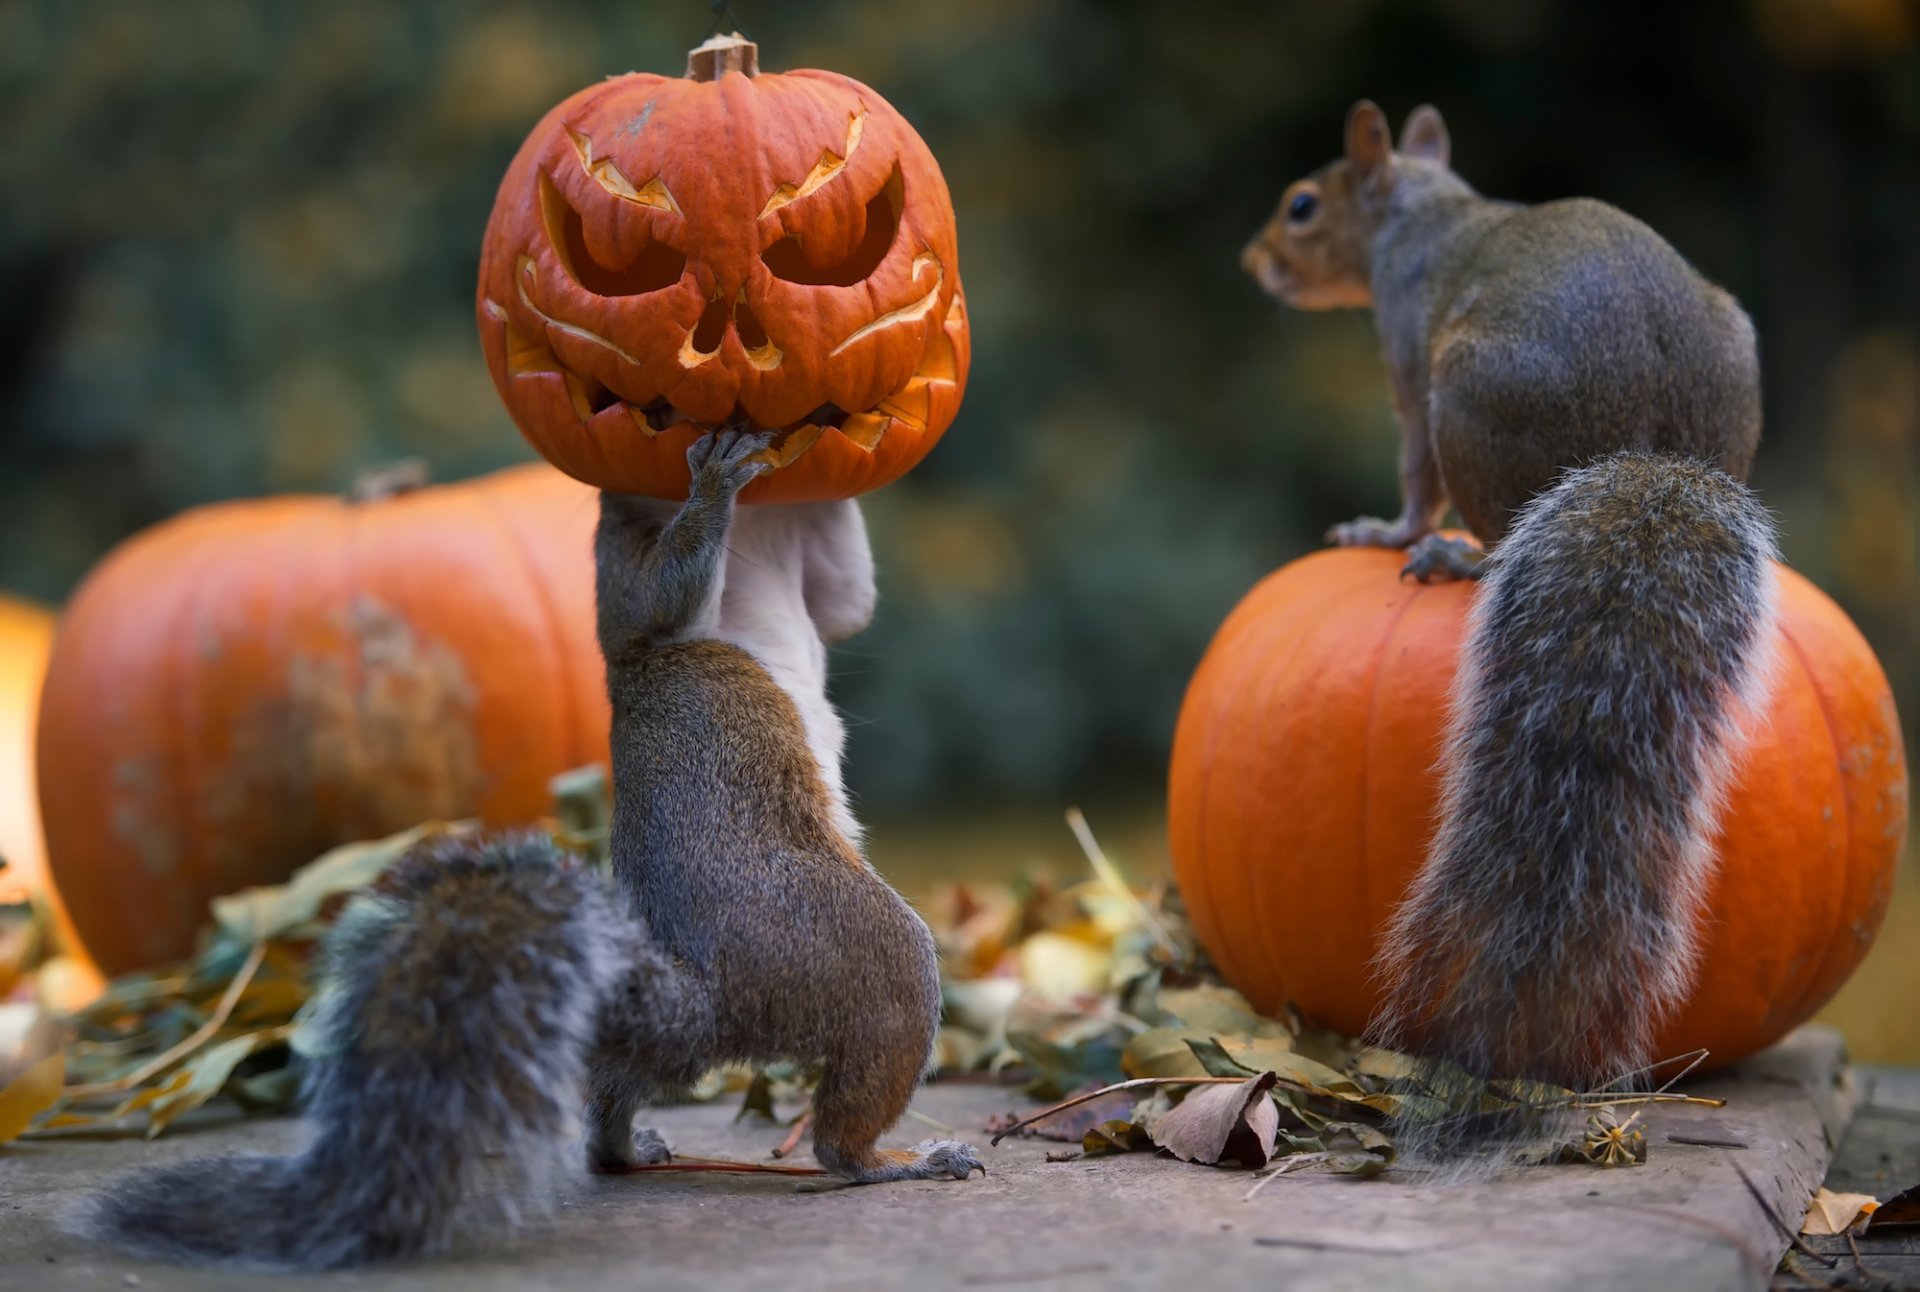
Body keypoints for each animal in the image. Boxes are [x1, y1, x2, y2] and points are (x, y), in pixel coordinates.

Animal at [1244, 100, 1781, 1151]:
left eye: (1302, 205)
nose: (1255, 262)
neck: (1424, 212)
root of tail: (1656, 449)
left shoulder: (1406, 355)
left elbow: (1412, 470)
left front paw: (1387, 528)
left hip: (1469, 395)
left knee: (1485, 524)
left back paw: (1457, 556)